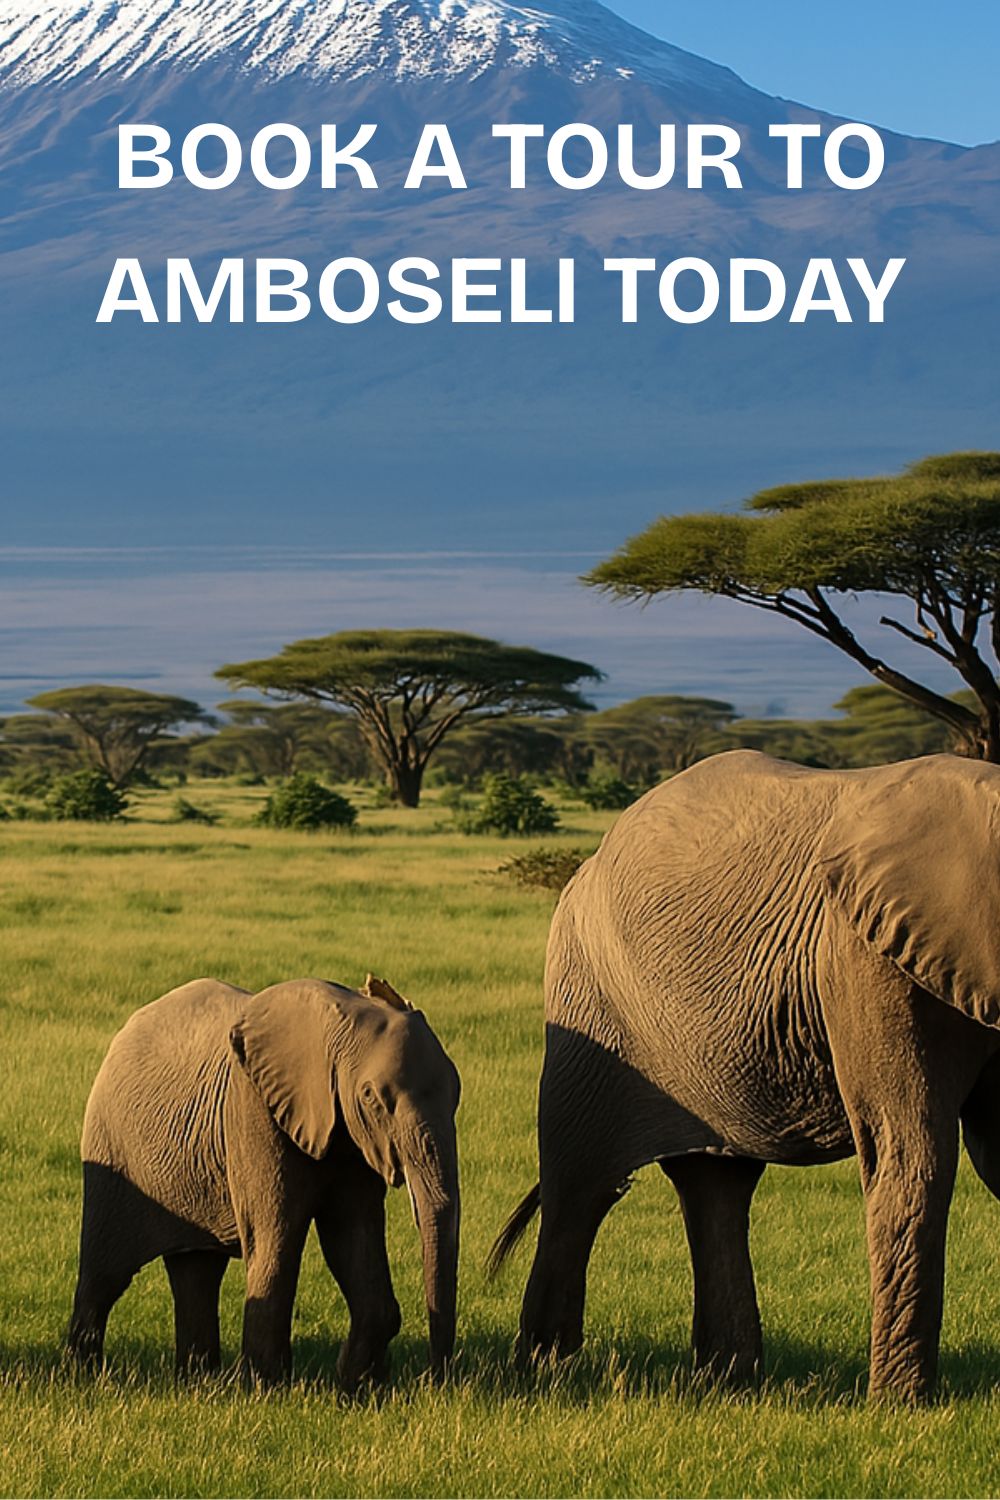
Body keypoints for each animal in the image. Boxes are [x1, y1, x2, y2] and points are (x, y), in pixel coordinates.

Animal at [68, 973, 461, 1387]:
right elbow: (276, 1234)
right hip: (112, 1147)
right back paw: (84, 1377)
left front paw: (358, 1388)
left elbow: (351, 1234)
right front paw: (266, 1389)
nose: (434, 1380)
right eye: (371, 1097)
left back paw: (197, 1383)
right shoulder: (253, 1108)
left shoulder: (349, 1136)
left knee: (196, 1271)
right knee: (105, 1274)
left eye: (458, 1093)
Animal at [490, 750, 1000, 1402]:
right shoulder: (866, 955)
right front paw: (901, 1407)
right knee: (582, 1182)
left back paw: (724, 1382)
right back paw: (547, 1373)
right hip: (588, 992)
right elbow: (909, 1153)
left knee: (714, 1184)